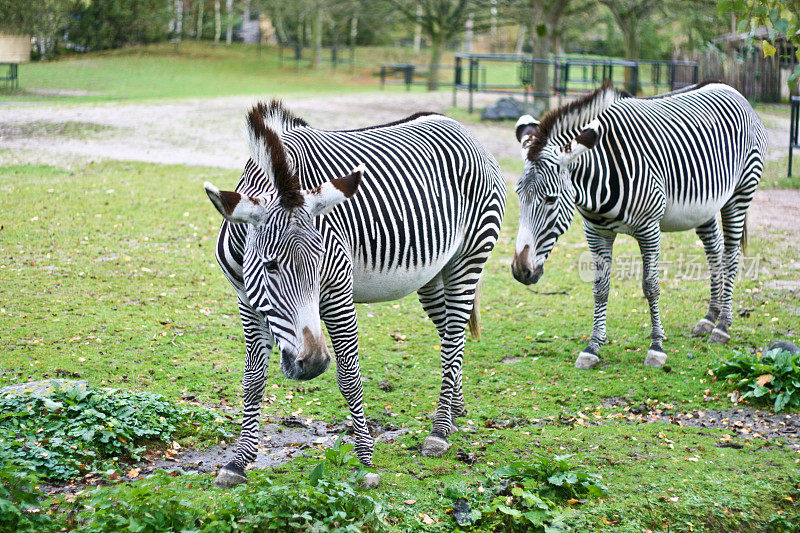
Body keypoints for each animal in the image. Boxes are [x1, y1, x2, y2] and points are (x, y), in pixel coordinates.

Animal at [203, 100, 504, 486]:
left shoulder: (336, 293)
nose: (314, 363)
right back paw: (454, 410)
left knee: (452, 338)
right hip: (434, 274)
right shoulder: (246, 299)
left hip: (471, 256)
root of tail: (463, 128)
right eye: (270, 266)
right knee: (453, 332)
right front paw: (238, 462)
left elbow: (349, 378)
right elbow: (252, 381)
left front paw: (365, 461)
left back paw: (438, 431)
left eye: (320, 264)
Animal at [510, 80, 764, 370]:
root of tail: (731, 89)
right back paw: (710, 317)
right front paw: (593, 347)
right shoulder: (596, 232)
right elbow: (600, 288)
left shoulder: (649, 228)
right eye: (519, 196)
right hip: (704, 207)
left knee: (731, 255)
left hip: (740, 193)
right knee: (715, 252)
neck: (599, 178)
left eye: (550, 199)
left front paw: (656, 347)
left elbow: (651, 286)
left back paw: (722, 327)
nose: (520, 270)